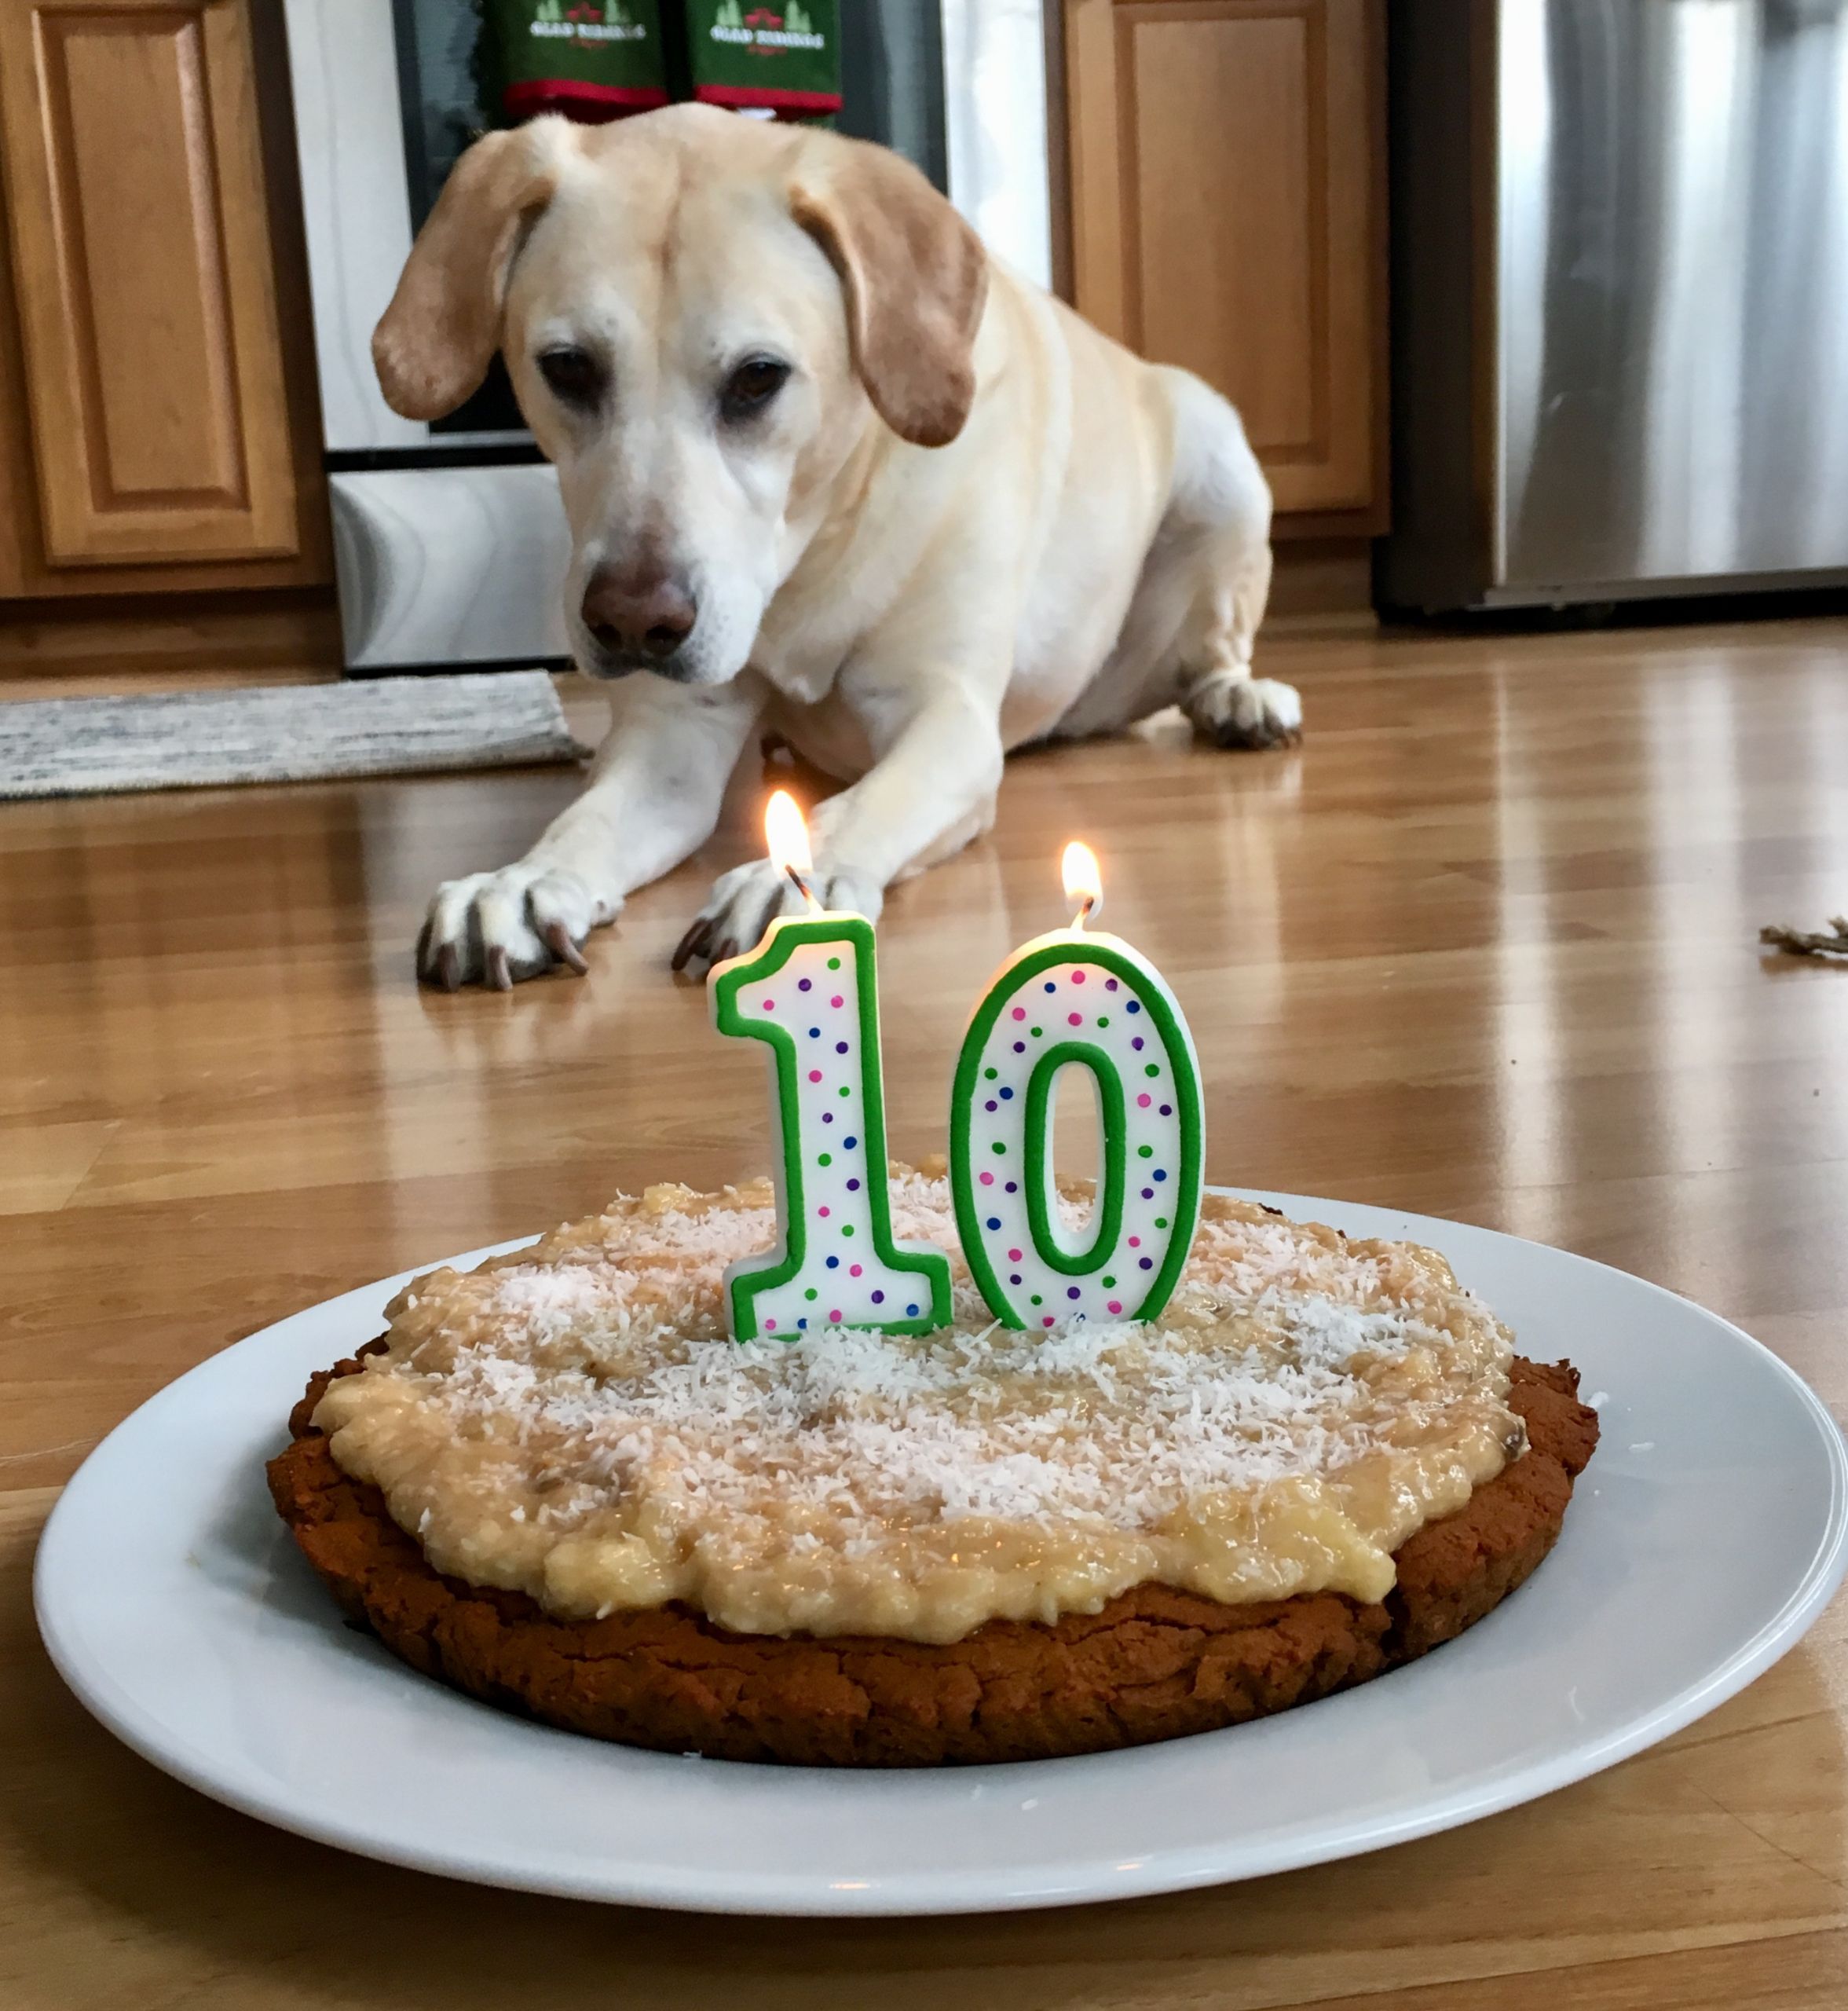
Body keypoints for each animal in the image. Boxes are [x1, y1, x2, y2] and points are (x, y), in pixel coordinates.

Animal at [382, 110, 1294, 989]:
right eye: (568, 368)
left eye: (757, 377)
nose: (634, 625)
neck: (809, 555)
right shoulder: (670, 745)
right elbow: (584, 821)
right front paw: (519, 881)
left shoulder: (946, 718)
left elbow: (862, 806)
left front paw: (790, 880)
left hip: (1219, 456)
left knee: (1212, 649)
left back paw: (1238, 700)